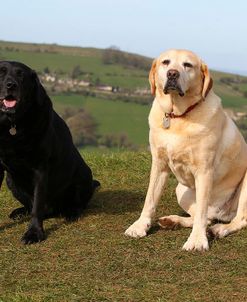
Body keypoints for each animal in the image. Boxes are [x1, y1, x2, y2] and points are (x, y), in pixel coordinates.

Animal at [0, 61, 99, 243]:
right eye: (1, 72)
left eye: (21, 75)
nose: (11, 85)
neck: (12, 124)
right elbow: (34, 205)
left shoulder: (40, 168)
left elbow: (37, 205)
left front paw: (34, 233)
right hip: (11, 181)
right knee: (32, 206)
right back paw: (20, 212)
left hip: (83, 175)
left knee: (76, 204)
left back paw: (72, 212)